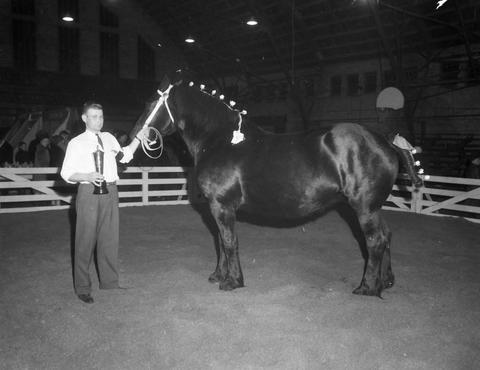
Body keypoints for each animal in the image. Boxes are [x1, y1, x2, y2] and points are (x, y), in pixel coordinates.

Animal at [129, 73, 422, 298]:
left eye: (151, 102)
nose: (130, 135)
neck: (220, 140)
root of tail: (384, 140)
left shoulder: (222, 206)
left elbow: (228, 241)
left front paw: (232, 281)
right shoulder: (217, 208)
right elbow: (221, 242)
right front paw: (218, 275)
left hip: (364, 208)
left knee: (375, 241)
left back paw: (367, 288)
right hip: (374, 207)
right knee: (386, 236)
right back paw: (386, 281)